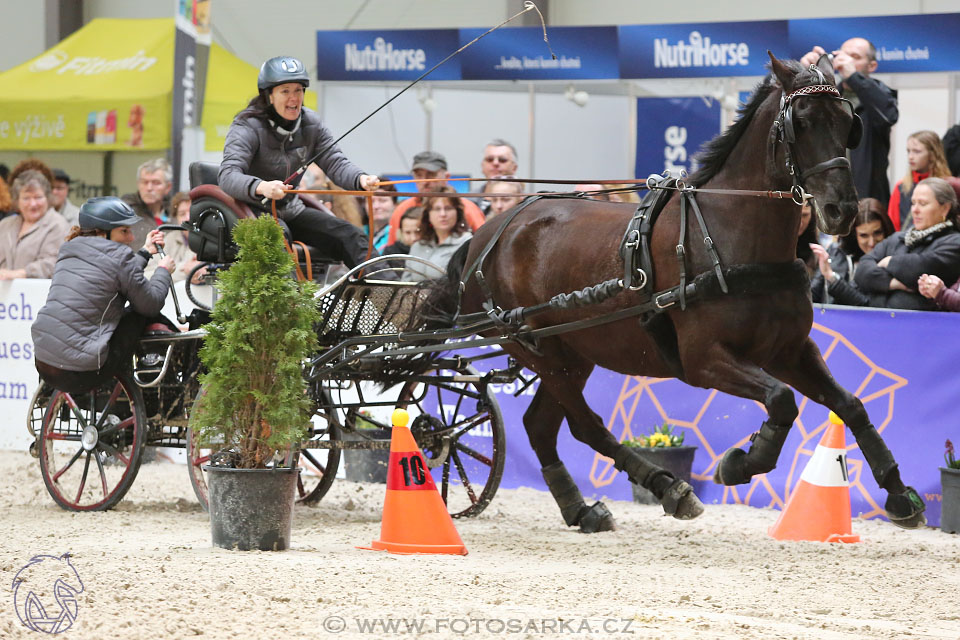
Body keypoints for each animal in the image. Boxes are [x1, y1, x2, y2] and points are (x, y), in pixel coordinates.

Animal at [416, 55, 928, 532]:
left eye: (847, 123)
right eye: (800, 121)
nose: (842, 210)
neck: (729, 236)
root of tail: (490, 233)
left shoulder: (789, 350)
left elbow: (850, 405)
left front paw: (899, 494)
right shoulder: (703, 361)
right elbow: (782, 399)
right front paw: (740, 463)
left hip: (572, 352)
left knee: (541, 426)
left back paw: (583, 509)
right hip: (540, 350)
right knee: (584, 424)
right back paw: (668, 487)